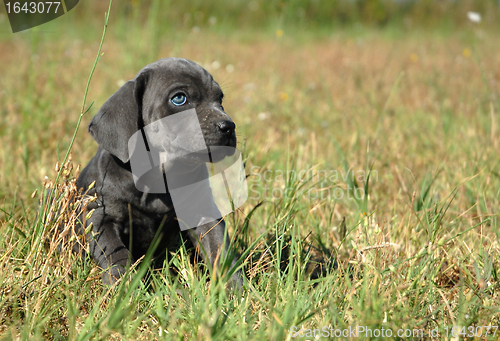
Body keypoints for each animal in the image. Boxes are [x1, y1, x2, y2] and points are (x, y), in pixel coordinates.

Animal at [75, 57, 243, 286]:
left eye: (220, 98)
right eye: (179, 98)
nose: (228, 126)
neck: (159, 178)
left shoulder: (203, 212)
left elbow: (220, 249)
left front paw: (234, 288)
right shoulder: (100, 216)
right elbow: (116, 255)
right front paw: (126, 287)